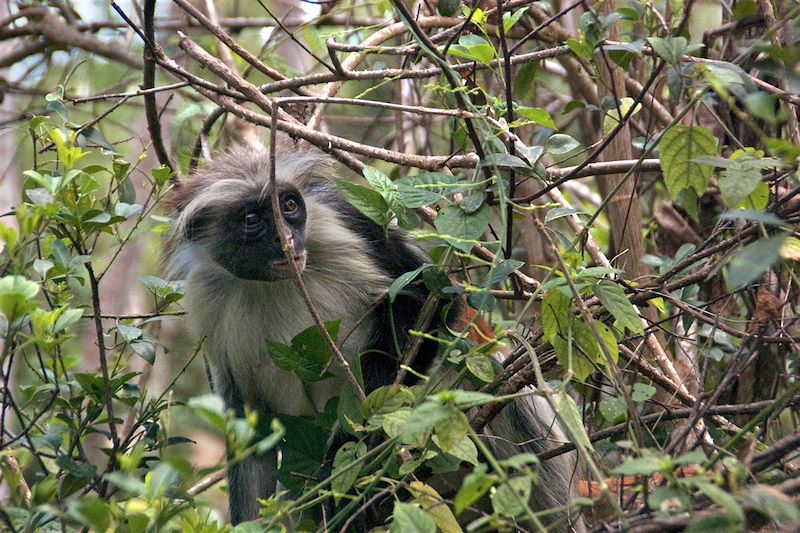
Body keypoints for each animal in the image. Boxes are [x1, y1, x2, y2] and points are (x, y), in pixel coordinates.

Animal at [164, 143, 588, 528]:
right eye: (253, 219)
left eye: (289, 207)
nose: (287, 240)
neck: (273, 284)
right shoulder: (209, 303)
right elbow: (252, 439)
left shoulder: (340, 224)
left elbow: (430, 302)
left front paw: (348, 468)